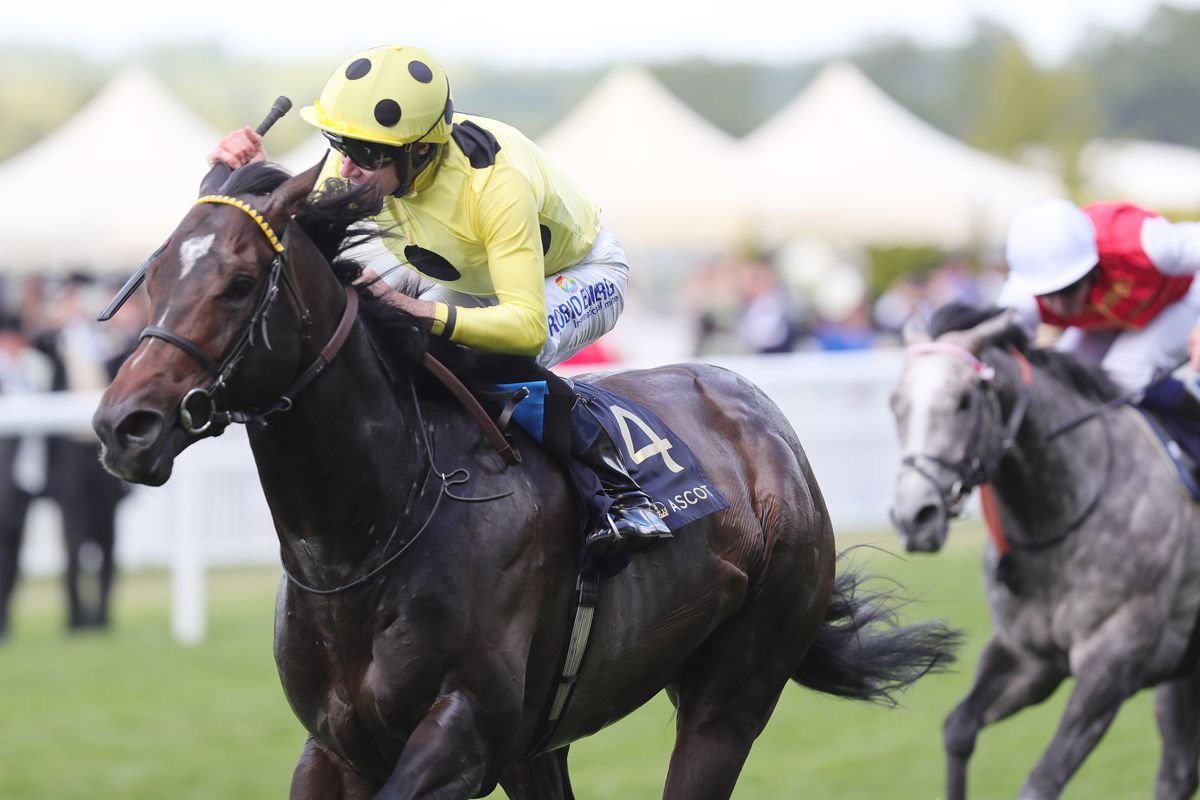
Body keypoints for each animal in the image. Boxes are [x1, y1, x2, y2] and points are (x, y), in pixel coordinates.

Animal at [93, 159, 959, 800]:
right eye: (154, 276)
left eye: (239, 282)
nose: (123, 425)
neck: (363, 538)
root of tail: (760, 415)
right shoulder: (336, 747)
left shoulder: (465, 730)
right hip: (541, 744)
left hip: (732, 696)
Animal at [889, 303, 1200, 800]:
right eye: (895, 403)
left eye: (964, 400)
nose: (914, 517)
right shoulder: (1028, 658)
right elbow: (958, 729)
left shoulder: (1111, 662)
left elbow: (1041, 782)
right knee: (1176, 773)